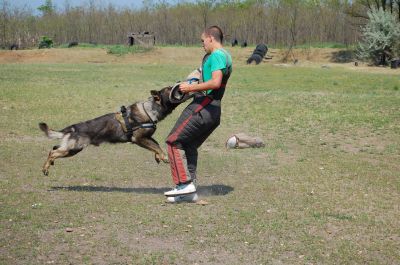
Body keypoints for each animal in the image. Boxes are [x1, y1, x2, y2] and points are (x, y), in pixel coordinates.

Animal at [38, 85, 181, 174]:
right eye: (169, 89)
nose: (180, 83)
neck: (149, 110)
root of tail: (73, 128)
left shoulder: (147, 137)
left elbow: (157, 145)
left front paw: (158, 156)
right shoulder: (139, 139)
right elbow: (156, 146)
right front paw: (164, 157)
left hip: (70, 148)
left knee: (54, 148)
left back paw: (49, 164)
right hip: (74, 148)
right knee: (52, 152)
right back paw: (45, 168)